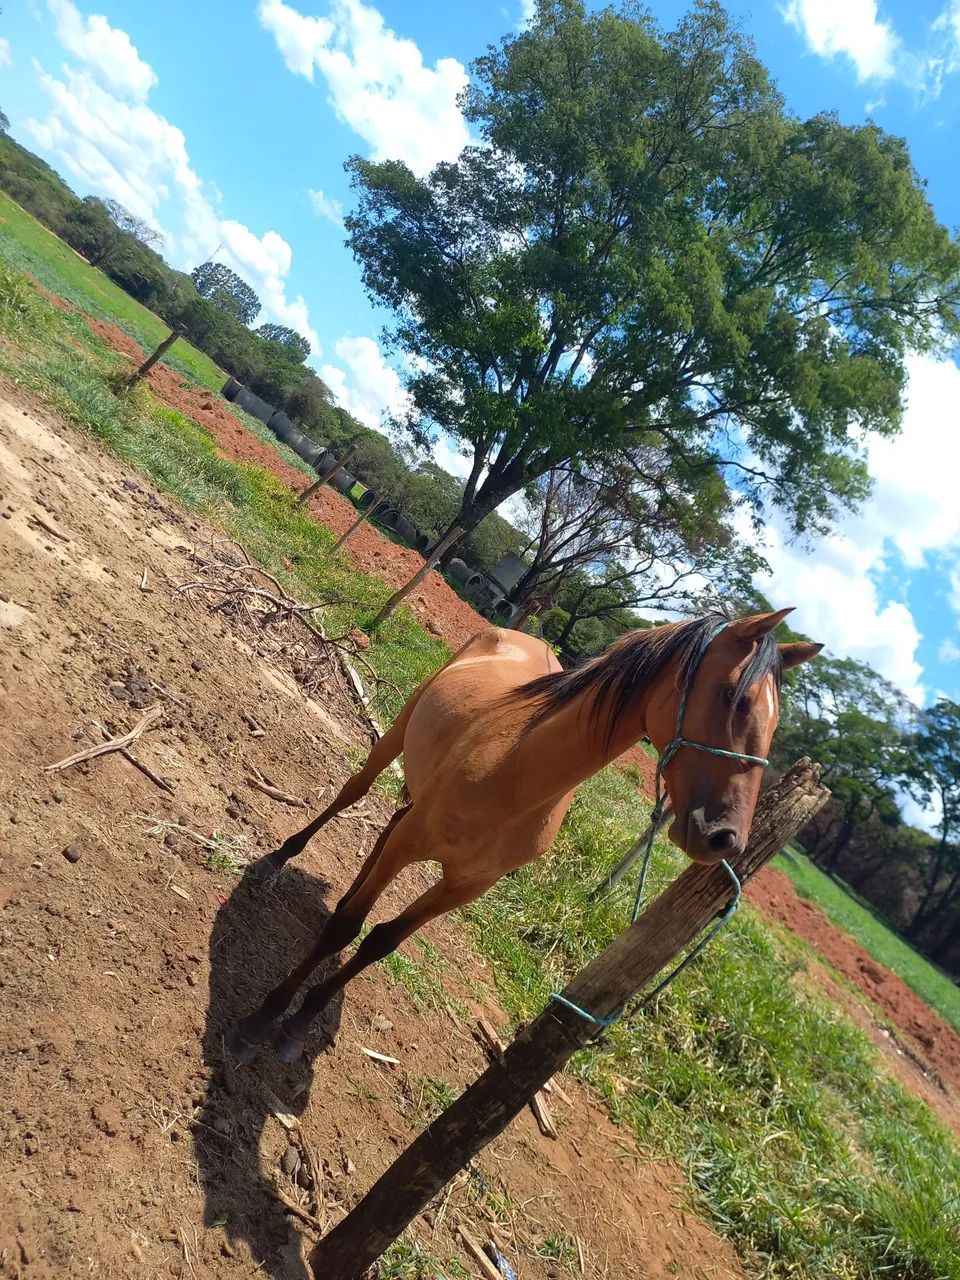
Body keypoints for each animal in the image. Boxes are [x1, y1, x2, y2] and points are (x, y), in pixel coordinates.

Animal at [226, 608, 821, 1065]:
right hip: (395, 739)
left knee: (383, 835)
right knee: (353, 793)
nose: (725, 840)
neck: (516, 772)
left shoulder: (466, 885)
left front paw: (300, 1024)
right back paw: (281, 857)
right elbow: (345, 929)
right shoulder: (415, 844)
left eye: (774, 723)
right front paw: (264, 1018)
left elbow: (378, 942)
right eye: (731, 696)